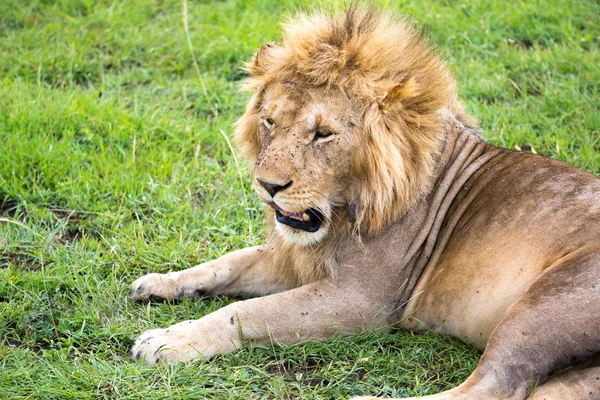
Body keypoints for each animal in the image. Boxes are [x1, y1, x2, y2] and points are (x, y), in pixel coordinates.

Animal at [127, 6, 600, 400]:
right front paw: (160, 283)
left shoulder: (361, 299)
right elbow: (227, 263)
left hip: (541, 306)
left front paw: (169, 339)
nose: (267, 185)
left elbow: (248, 311)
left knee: (493, 387)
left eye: (322, 134)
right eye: (269, 121)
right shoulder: (296, 260)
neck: (344, 213)